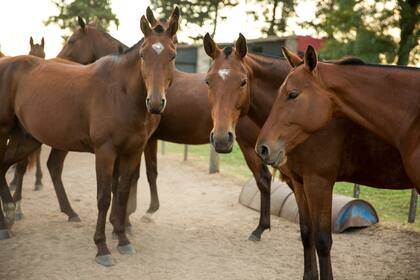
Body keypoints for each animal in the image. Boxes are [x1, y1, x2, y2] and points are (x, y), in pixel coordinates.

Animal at [0, 9, 179, 266]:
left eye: (172, 55)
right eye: (143, 55)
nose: (155, 102)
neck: (121, 92)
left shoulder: (132, 152)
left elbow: (122, 192)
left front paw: (123, 238)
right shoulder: (105, 152)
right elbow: (104, 197)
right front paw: (102, 247)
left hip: (26, 139)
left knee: (7, 167)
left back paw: (10, 215)